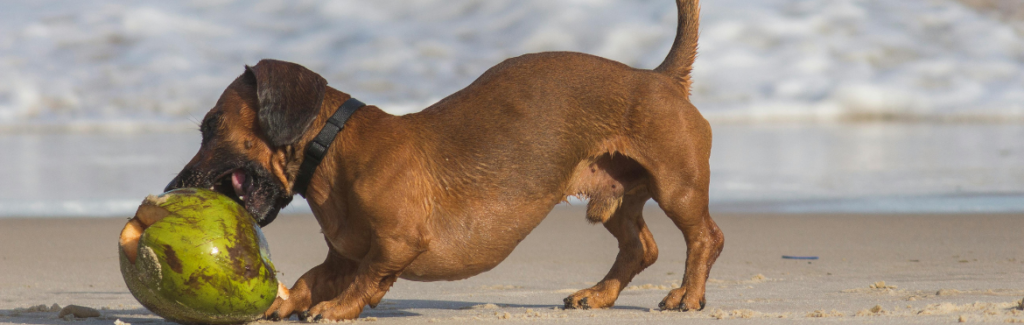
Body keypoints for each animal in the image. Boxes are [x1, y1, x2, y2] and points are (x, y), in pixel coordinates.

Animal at [165, 0, 720, 319]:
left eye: (211, 126)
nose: (172, 189)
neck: (335, 148)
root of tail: (660, 77)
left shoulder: (397, 243)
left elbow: (368, 277)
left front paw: (337, 307)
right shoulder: (343, 252)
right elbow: (312, 278)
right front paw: (292, 303)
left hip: (678, 187)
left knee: (705, 238)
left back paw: (688, 296)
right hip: (617, 199)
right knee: (640, 248)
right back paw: (599, 295)